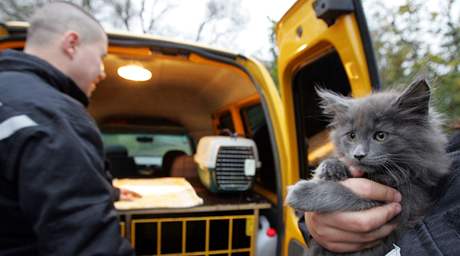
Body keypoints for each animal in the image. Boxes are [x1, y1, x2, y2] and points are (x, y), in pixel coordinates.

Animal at [286, 79, 452, 255]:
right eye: (352, 136)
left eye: (381, 136)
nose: (358, 155)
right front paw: (330, 168)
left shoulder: (405, 204)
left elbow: (346, 195)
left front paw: (300, 193)